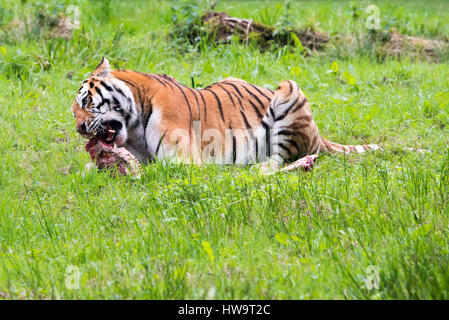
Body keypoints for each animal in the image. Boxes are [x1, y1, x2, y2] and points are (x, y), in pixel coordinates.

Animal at [72, 57, 378, 172]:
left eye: (86, 102)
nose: (80, 129)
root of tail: (319, 135)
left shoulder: (183, 160)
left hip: (289, 90)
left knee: (280, 161)